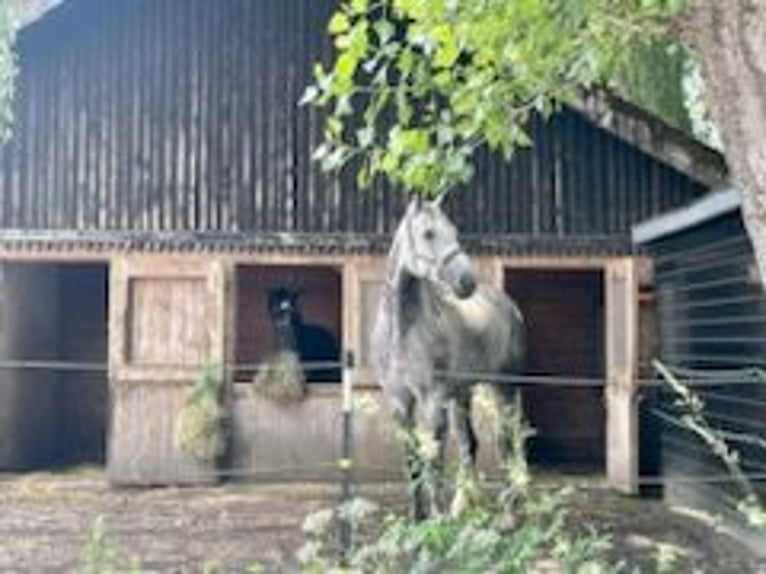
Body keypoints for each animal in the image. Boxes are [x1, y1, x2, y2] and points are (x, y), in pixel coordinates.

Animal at [372, 196, 528, 520]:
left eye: (455, 232)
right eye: (428, 233)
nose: (466, 281)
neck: (402, 332)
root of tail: (510, 307)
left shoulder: (433, 399)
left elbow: (433, 460)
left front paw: (436, 517)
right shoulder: (399, 401)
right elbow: (412, 460)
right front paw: (416, 517)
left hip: (504, 388)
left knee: (507, 439)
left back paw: (511, 505)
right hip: (462, 395)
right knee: (470, 443)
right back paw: (462, 505)